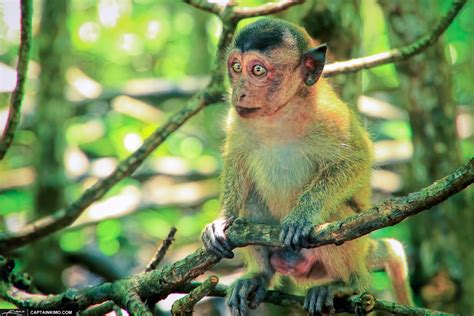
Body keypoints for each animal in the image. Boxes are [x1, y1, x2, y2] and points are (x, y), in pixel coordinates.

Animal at [202, 18, 412, 314]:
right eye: (235, 67)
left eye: (257, 70)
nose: (239, 93)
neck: (279, 115)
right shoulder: (237, 119)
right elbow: (236, 162)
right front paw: (222, 220)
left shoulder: (330, 116)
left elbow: (357, 158)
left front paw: (302, 215)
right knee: (250, 203)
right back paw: (259, 276)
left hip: (347, 251)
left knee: (334, 215)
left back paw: (346, 284)